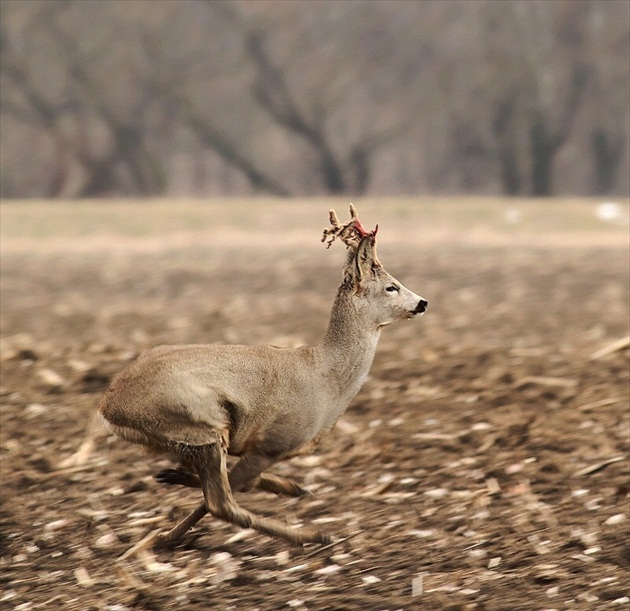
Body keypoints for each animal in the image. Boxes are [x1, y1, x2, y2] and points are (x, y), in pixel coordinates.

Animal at [80, 208, 424, 548]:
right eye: (392, 286)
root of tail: (108, 406)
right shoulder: (270, 444)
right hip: (201, 424)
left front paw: (293, 487)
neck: (326, 378)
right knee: (221, 502)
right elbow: (231, 488)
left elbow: (240, 483)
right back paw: (310, 535)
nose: (423, 302)